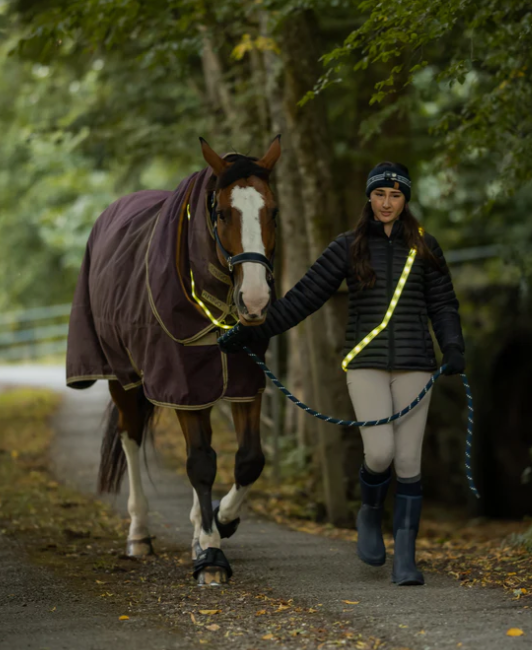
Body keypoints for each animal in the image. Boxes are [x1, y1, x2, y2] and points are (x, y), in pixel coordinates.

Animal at [66, 136, 281, 585]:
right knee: (131, 437)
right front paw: (212, 556)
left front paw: (221, 522)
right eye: (222, 213)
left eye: (272, 210)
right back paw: (139, 534)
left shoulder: (244, 381)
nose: (254, 301)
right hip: (123, 377)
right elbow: (200, 462)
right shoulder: (183, 383)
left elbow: (249, 459)